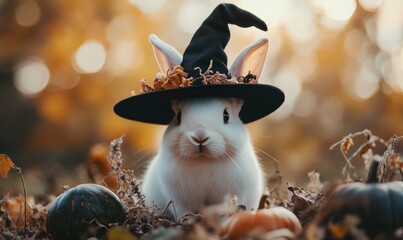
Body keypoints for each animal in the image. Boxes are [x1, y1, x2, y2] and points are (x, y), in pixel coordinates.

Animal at [144, 34, 270, 218]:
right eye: (178, 116)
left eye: (226, 115)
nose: (200, 136)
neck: (204, 161)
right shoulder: (178, 199)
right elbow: (184, 213)